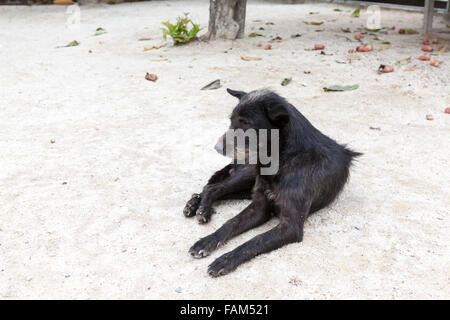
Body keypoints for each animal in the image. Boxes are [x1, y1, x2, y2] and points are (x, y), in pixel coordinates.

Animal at [183, 89, 362, 276]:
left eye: (246, 123)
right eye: (231, 121)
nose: (217, 147)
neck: (286, 157)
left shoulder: (290, 226)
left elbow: (256, 240)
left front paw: (226, 259)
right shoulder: (259, 206)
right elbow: (231, 223)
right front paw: (207, 241)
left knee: (215, 188)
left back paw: (197, 206)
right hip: (248, 174)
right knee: (213, 187)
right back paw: (199, 207)